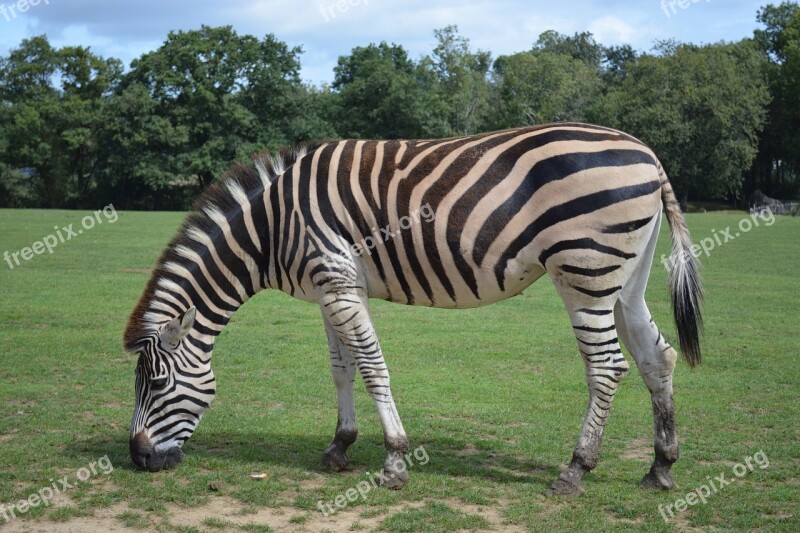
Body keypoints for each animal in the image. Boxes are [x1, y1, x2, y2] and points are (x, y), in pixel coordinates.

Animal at [123, 123, 700, 494]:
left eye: (155, 383)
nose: (138, 459)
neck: (271, 228)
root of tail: (647, 154)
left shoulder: (337, 279)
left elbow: (373, 367)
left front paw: (395, 461)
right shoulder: (331, 289)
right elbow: (341, 368)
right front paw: (339, 446)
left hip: (584, 272)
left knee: (606, 366)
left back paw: (576, 470)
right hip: (625, 279)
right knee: (657, 358)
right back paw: (661, 468)